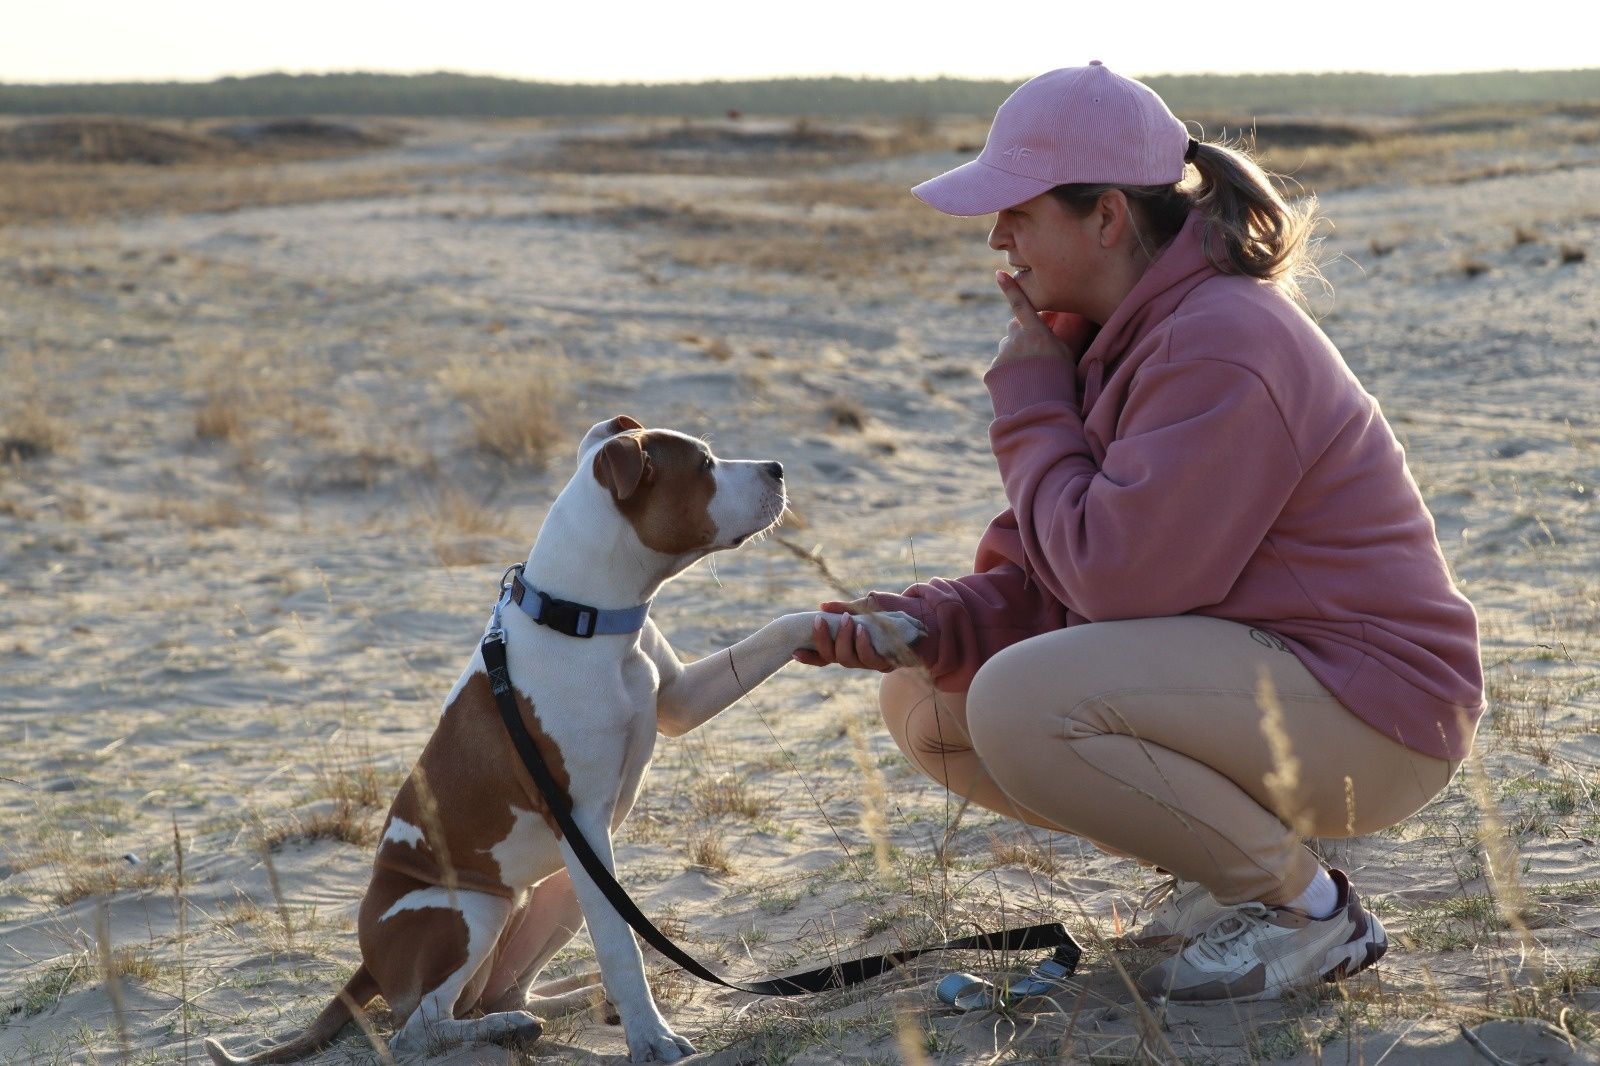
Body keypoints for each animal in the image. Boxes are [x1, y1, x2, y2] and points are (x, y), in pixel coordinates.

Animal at [201, 416, 928, 1062]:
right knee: (418, 1029)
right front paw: (652, 1041)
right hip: (476, 908)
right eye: (703, 465)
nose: (778, 467)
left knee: (498, 992)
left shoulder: (680, 701)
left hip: (558, 892)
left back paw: (570, 1001)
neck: (591, 620)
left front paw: (881, 625)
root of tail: (367, 963)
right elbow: (622, 947)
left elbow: (783, 625)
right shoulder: (580, 817)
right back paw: (511, 1029)